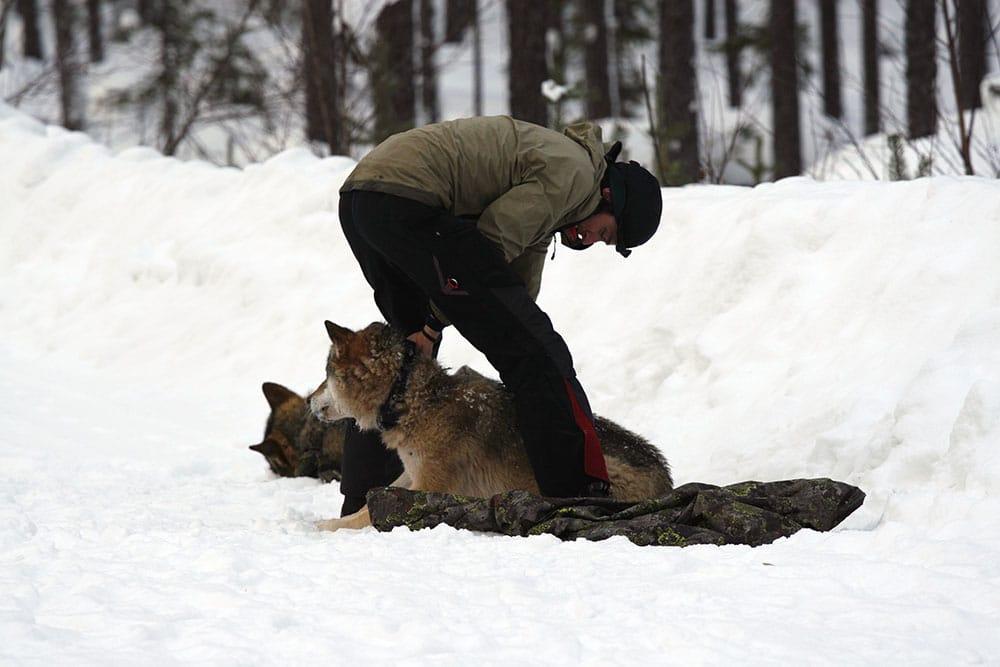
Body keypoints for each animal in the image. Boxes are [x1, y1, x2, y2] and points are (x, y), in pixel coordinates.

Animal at [308, 322, 676, 532]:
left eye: (325, 375)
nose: (309, 400)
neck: (413, 399)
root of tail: (668, 482)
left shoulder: (429, 485)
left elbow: (369, 513)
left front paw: (326, 527)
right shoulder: (410, 474)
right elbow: (368, 503)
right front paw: (330, 521)